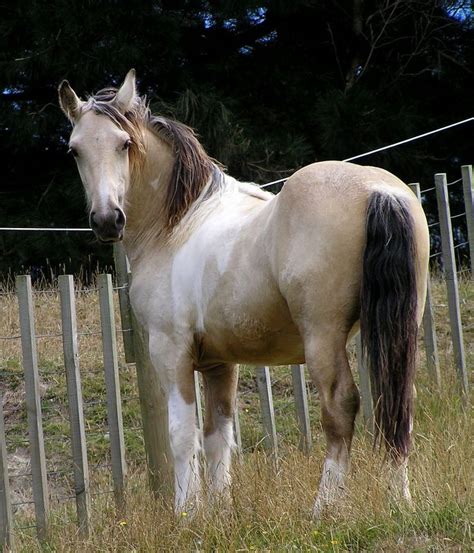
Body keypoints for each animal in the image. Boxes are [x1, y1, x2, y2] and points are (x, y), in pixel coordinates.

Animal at [58, 70, 430, 516]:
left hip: (323, 337)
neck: (177, 225)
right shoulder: (220, 363)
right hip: (399, 330)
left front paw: (187, 514)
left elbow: (183, 434)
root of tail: (378, 190)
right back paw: (400, 501)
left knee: (341, 408)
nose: (107, 220)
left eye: (124, 144)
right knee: (399, 401)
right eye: (75, 150)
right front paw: (219, 511)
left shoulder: (171, 351)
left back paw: (322, 508)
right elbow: (218, 435)